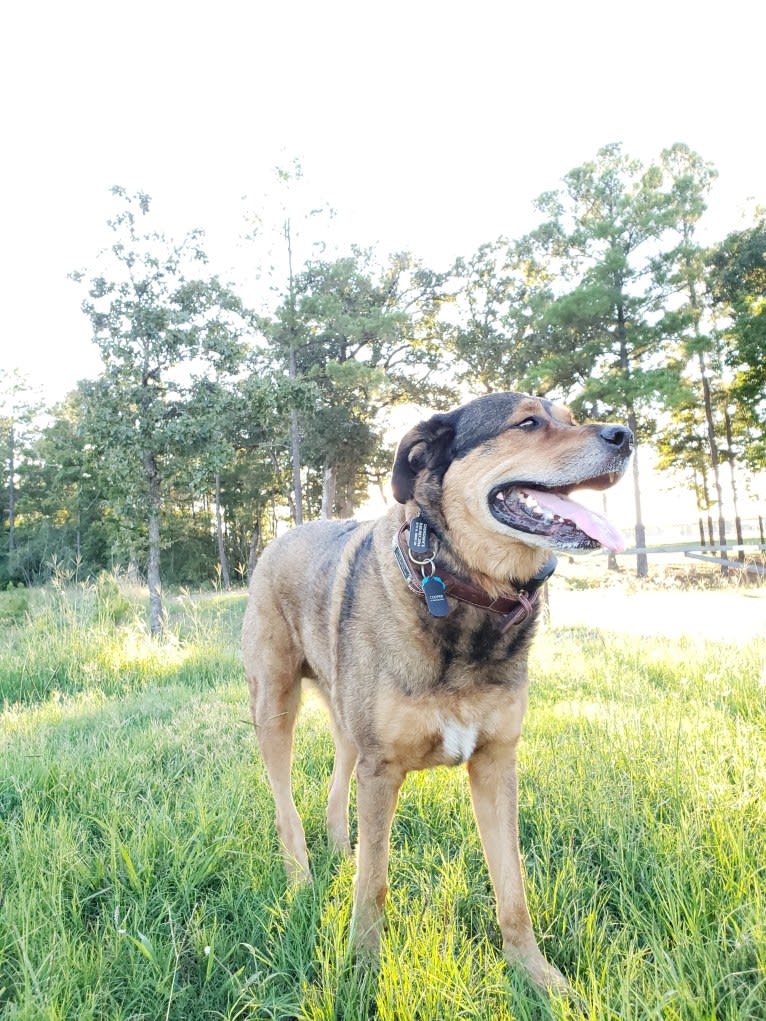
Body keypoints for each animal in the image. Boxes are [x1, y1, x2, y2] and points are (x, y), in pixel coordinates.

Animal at [243, 390, 633, 988]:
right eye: (527, 423)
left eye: (569, 418)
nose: (625, 436)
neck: (462, 589)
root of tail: (284, 533)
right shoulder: (381, 769)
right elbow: (374, 885)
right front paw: (362, 974)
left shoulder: (496, 762)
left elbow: (512, 888)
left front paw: (535, 973)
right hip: (274, 708)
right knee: (285, 803)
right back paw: (301, 876)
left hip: (347, 723)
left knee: (336, 782)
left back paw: (339, 849)